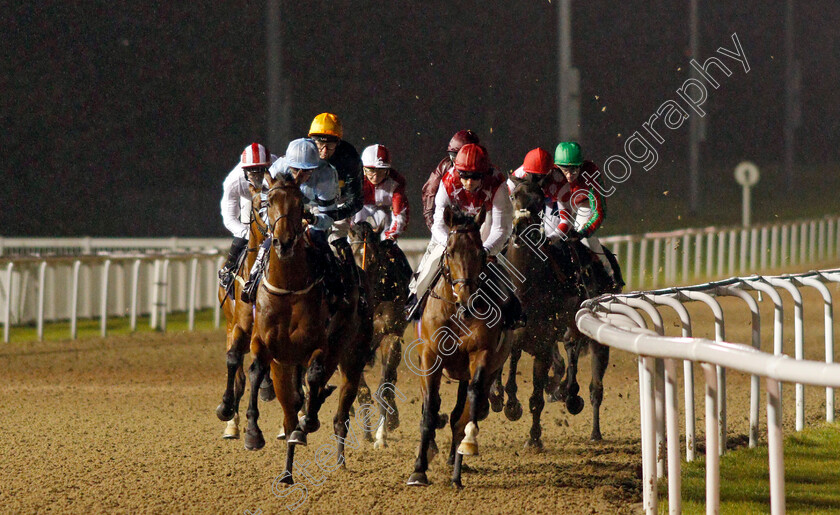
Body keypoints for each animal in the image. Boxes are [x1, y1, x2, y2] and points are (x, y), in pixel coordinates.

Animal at [244, 174, 372, 484]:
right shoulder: (268, 348)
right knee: (291, 412)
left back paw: (339, 461)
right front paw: (253, 434)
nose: (284, 242)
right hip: (288, 364)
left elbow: (314, 379)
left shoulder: (322, 346)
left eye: (299, 203)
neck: (289, 289)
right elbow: (256, 373)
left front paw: (310, 421)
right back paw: (287, 472)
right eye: (269, 201)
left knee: (340, 413)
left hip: (352, 356)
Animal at [346, 220, 412, 450]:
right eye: (350, 257)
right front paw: (367, 433)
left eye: (374, 260)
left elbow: (384, 386)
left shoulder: (391, 334)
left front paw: (380, 435)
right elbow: (362, 390)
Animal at [406, 208, 512, 490]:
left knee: (460, 415)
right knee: (434, 407)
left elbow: (468, 409)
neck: (457, 312)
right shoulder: (430, 357)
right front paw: (419, 470)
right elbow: (430, 408)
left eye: (479, 252)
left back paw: (456, 467)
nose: (466, 298)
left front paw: (468, 445)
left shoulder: (482, 355)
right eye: (450, 251)